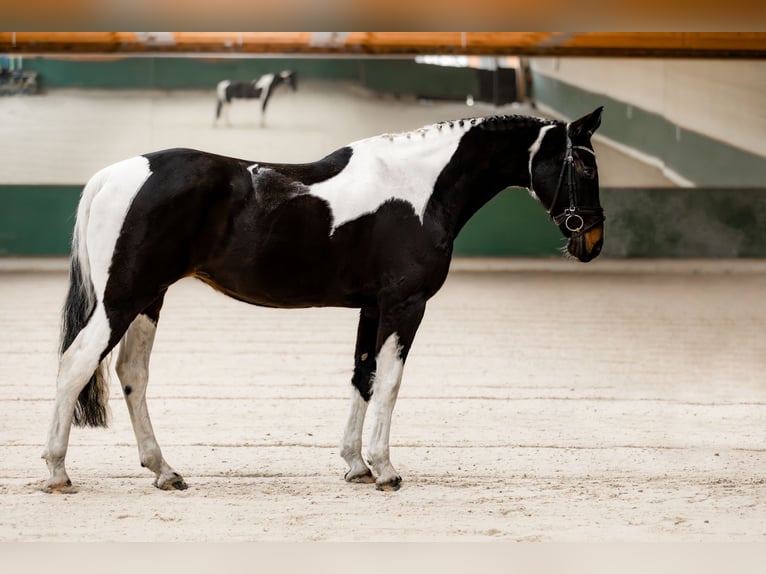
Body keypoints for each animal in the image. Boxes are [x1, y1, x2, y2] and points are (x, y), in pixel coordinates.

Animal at [43, 108, 608, 496]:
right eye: (582, 164)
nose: (592, 240)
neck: (420, 188)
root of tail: (115, 175)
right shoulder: (405, 305)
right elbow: (391, 381)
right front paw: (385, 469)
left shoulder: (372, 307)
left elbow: (364, 376)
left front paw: (356, 465)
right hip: (123, 299)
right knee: (75, 365)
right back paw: (57, 472)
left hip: (148, 298)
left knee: (132, 373)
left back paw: (164, 470)